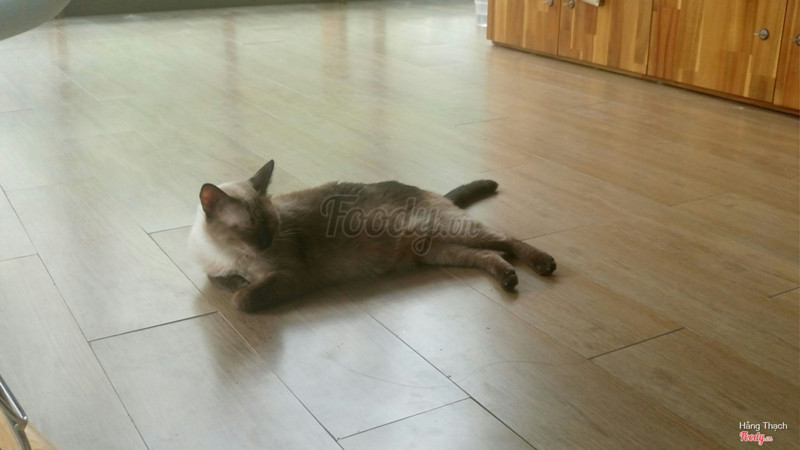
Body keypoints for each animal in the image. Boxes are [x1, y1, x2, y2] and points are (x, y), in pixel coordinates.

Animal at [189, 160, 556, 312]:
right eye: (250, 229)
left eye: (272, 224)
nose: (265, 242)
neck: (228, 254)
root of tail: (431, 192)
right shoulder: (215, 273)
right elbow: (222, 281)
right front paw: (236, 282)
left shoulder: (290, 275)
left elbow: (243, 299)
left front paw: (242, 291)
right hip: (440, 251)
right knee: (490, 256)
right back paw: (508, 279)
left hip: (451, 230)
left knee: (507, 240)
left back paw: (544, 264)